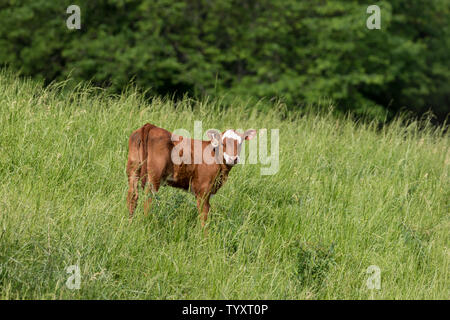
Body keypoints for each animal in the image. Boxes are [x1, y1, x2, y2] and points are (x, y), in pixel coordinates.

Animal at [125, 122, 256, 225]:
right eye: (223, 143)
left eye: (240, 143)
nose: (233, 159)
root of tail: (151, 126)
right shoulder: (203, 189)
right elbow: (204, 214)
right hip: (154, 176)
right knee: (148, 199)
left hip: (133, 170)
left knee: (132, 196)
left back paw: (130, 223)